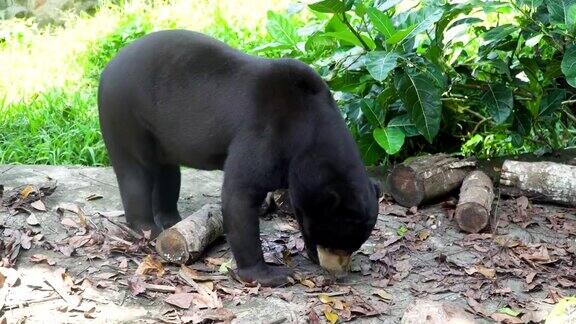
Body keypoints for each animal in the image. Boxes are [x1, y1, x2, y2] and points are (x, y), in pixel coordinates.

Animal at [99, 29, 378, 284]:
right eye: (336, 241)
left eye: (354, 245)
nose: (339, 274)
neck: (310, 128)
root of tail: (108, 66)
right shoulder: (267, 134)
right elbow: (240, 193)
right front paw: (272, 274)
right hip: (125, 113)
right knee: (135, 173)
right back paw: (148, 229)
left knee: (168, 173)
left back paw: (171, 219)